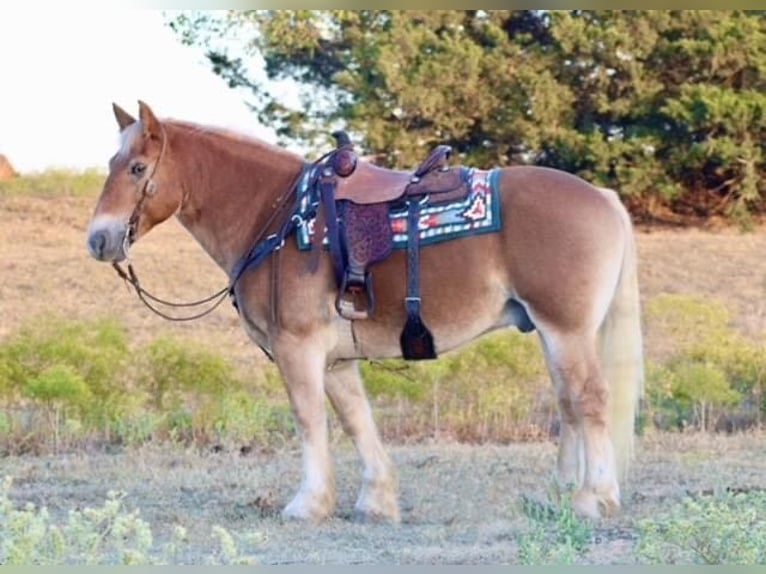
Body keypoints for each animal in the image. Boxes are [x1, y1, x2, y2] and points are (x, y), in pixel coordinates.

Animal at [87, 101, 644, 524]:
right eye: (111, 163)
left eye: (137, 168)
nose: (98, 239)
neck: (279, 216)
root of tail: (603, 197)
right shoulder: (336, 359)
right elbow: (357, 419)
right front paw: (376, 500)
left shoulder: (298, 347)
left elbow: (310, 418)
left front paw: (309, 503)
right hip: (555, 334)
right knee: (568, 404)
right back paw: (561, 493)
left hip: (566, 330)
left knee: (590, 400)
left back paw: (595, 498)